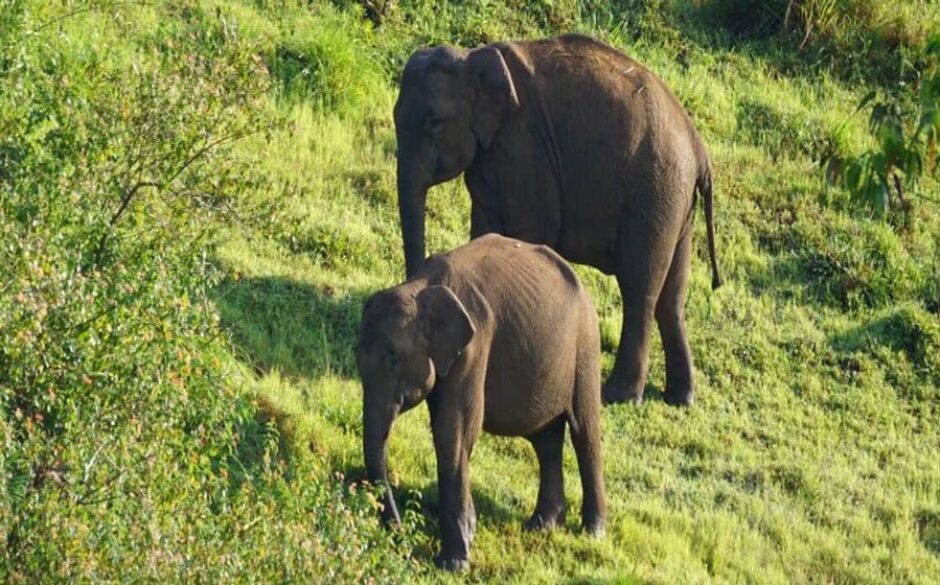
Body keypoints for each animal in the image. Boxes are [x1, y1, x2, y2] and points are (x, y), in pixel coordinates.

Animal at [356, 233, 604, 572]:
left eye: (395, 358)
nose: (401, 535)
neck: (421, 286)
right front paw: (468, 538)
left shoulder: (475, 347)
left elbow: (455, 432)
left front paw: (453, 564)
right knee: (545, 441)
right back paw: (541, 525)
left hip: (585, 346)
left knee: (584, 433)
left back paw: (593, 532)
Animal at [392, 33, 724, 406]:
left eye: (434, 122)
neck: (473, 57)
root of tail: (700, 151)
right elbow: (486, 228)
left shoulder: (526, 148)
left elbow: (529, 231)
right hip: (677, 205)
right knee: (672, 295)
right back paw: (680, 398)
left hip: (654, 195)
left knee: (640, 288)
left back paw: (618, 396)